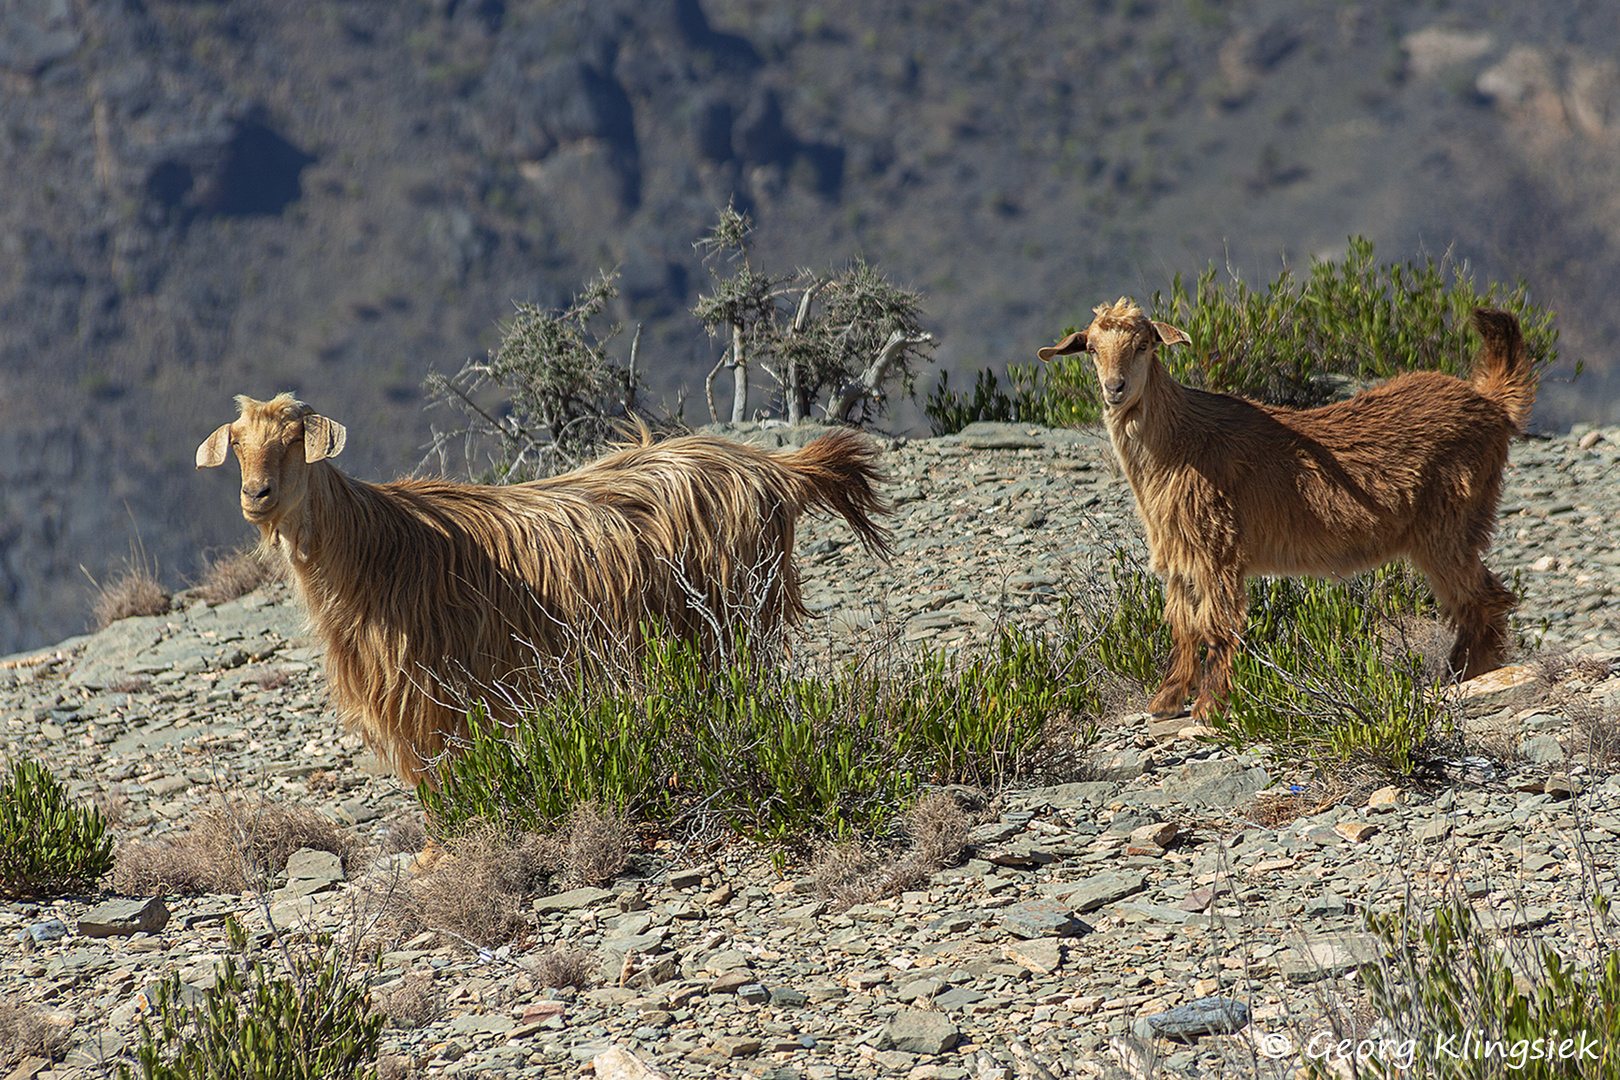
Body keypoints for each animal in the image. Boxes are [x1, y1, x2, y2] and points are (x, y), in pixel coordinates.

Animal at [199, 393, 900, 780]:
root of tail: (773, 466)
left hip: (732, 612)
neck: (377, 546)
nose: (256, 495)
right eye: (237, 443)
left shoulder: (430, 685)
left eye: (295, 440)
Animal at [1043, 299, 1535, 722]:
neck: (1180, 444)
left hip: (1449, 524)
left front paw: (1208, 708)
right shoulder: (1180, 551)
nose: (1115, 388)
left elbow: (1216, 624)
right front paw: (1166, 700)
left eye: (1144, 344)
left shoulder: (1217, 545)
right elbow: (1183, 623)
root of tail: (1493, 404)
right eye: (1091, 348)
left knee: (1484, 597)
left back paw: (1462, 675)